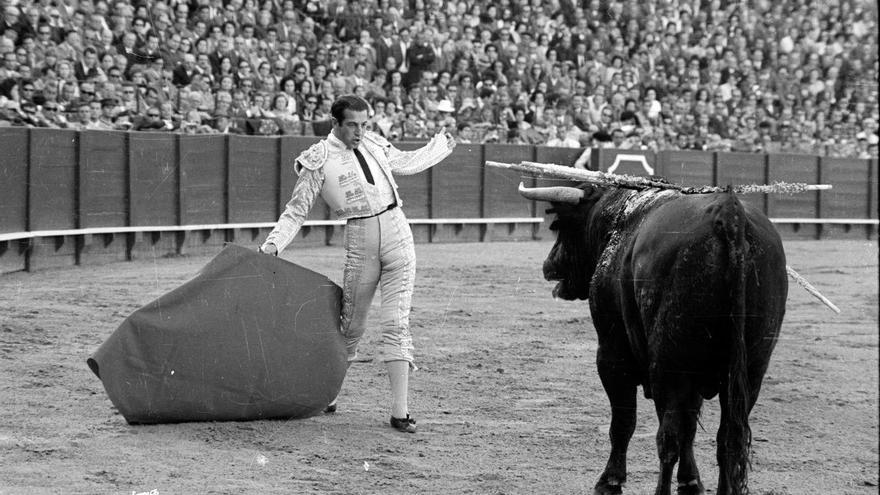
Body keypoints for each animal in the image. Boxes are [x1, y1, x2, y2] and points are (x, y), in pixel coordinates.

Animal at [520, 182, 788, 495]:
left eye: (559, 225)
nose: (548, 264)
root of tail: (729, 214)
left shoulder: (612, 354)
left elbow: (624, 422)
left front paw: (610, 481)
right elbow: (691, 426)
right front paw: (690, 480)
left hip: (668, 363)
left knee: (668, 437)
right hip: (752, 369)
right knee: (728, 439)